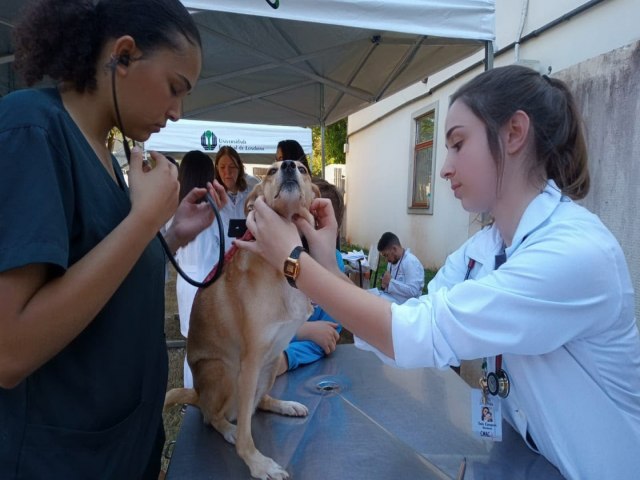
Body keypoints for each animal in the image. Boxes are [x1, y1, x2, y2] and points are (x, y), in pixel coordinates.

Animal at [165, 159, 320, 478]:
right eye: (271, 171)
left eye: (303, 169)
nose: (289, 165)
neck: (278, 264)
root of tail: (197, 394)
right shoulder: (250, 361)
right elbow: (247, 433)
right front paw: (257, 463)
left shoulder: (268, 355)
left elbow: (254, 409)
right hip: (226, 371)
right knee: (214, 416)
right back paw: (228, 428)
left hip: (273, 362)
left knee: (258, 404)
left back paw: (284, 405)